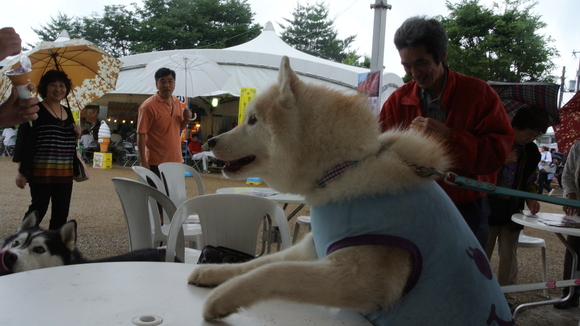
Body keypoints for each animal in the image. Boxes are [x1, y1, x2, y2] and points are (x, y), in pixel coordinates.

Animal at [189, 56, 512, 326]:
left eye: (253, 120)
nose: (211, 141)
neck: (344, 167)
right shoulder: (312, 250)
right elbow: (256, 262)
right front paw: (213, 272)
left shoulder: (358, 280)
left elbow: (271, 271)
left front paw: (221, 299)